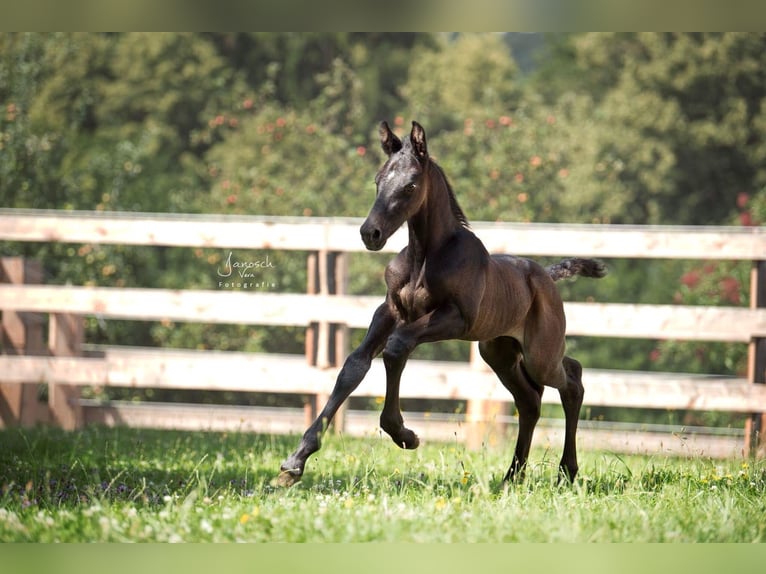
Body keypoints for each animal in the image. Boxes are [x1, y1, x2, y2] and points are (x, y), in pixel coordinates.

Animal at [280, 121, 608, 490]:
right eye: (378, 180)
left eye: (410, 185)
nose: (370, 233)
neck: (424, 257)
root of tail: (548, 277)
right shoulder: (390, 311)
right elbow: (354, 365)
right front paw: (295, 461)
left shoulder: (456, 318)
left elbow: (397, 347)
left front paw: (404, 435)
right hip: (499, 352)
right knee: (530, 401)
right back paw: (512, 476)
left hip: (540, 354)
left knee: (572, 380)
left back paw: (566, 472)